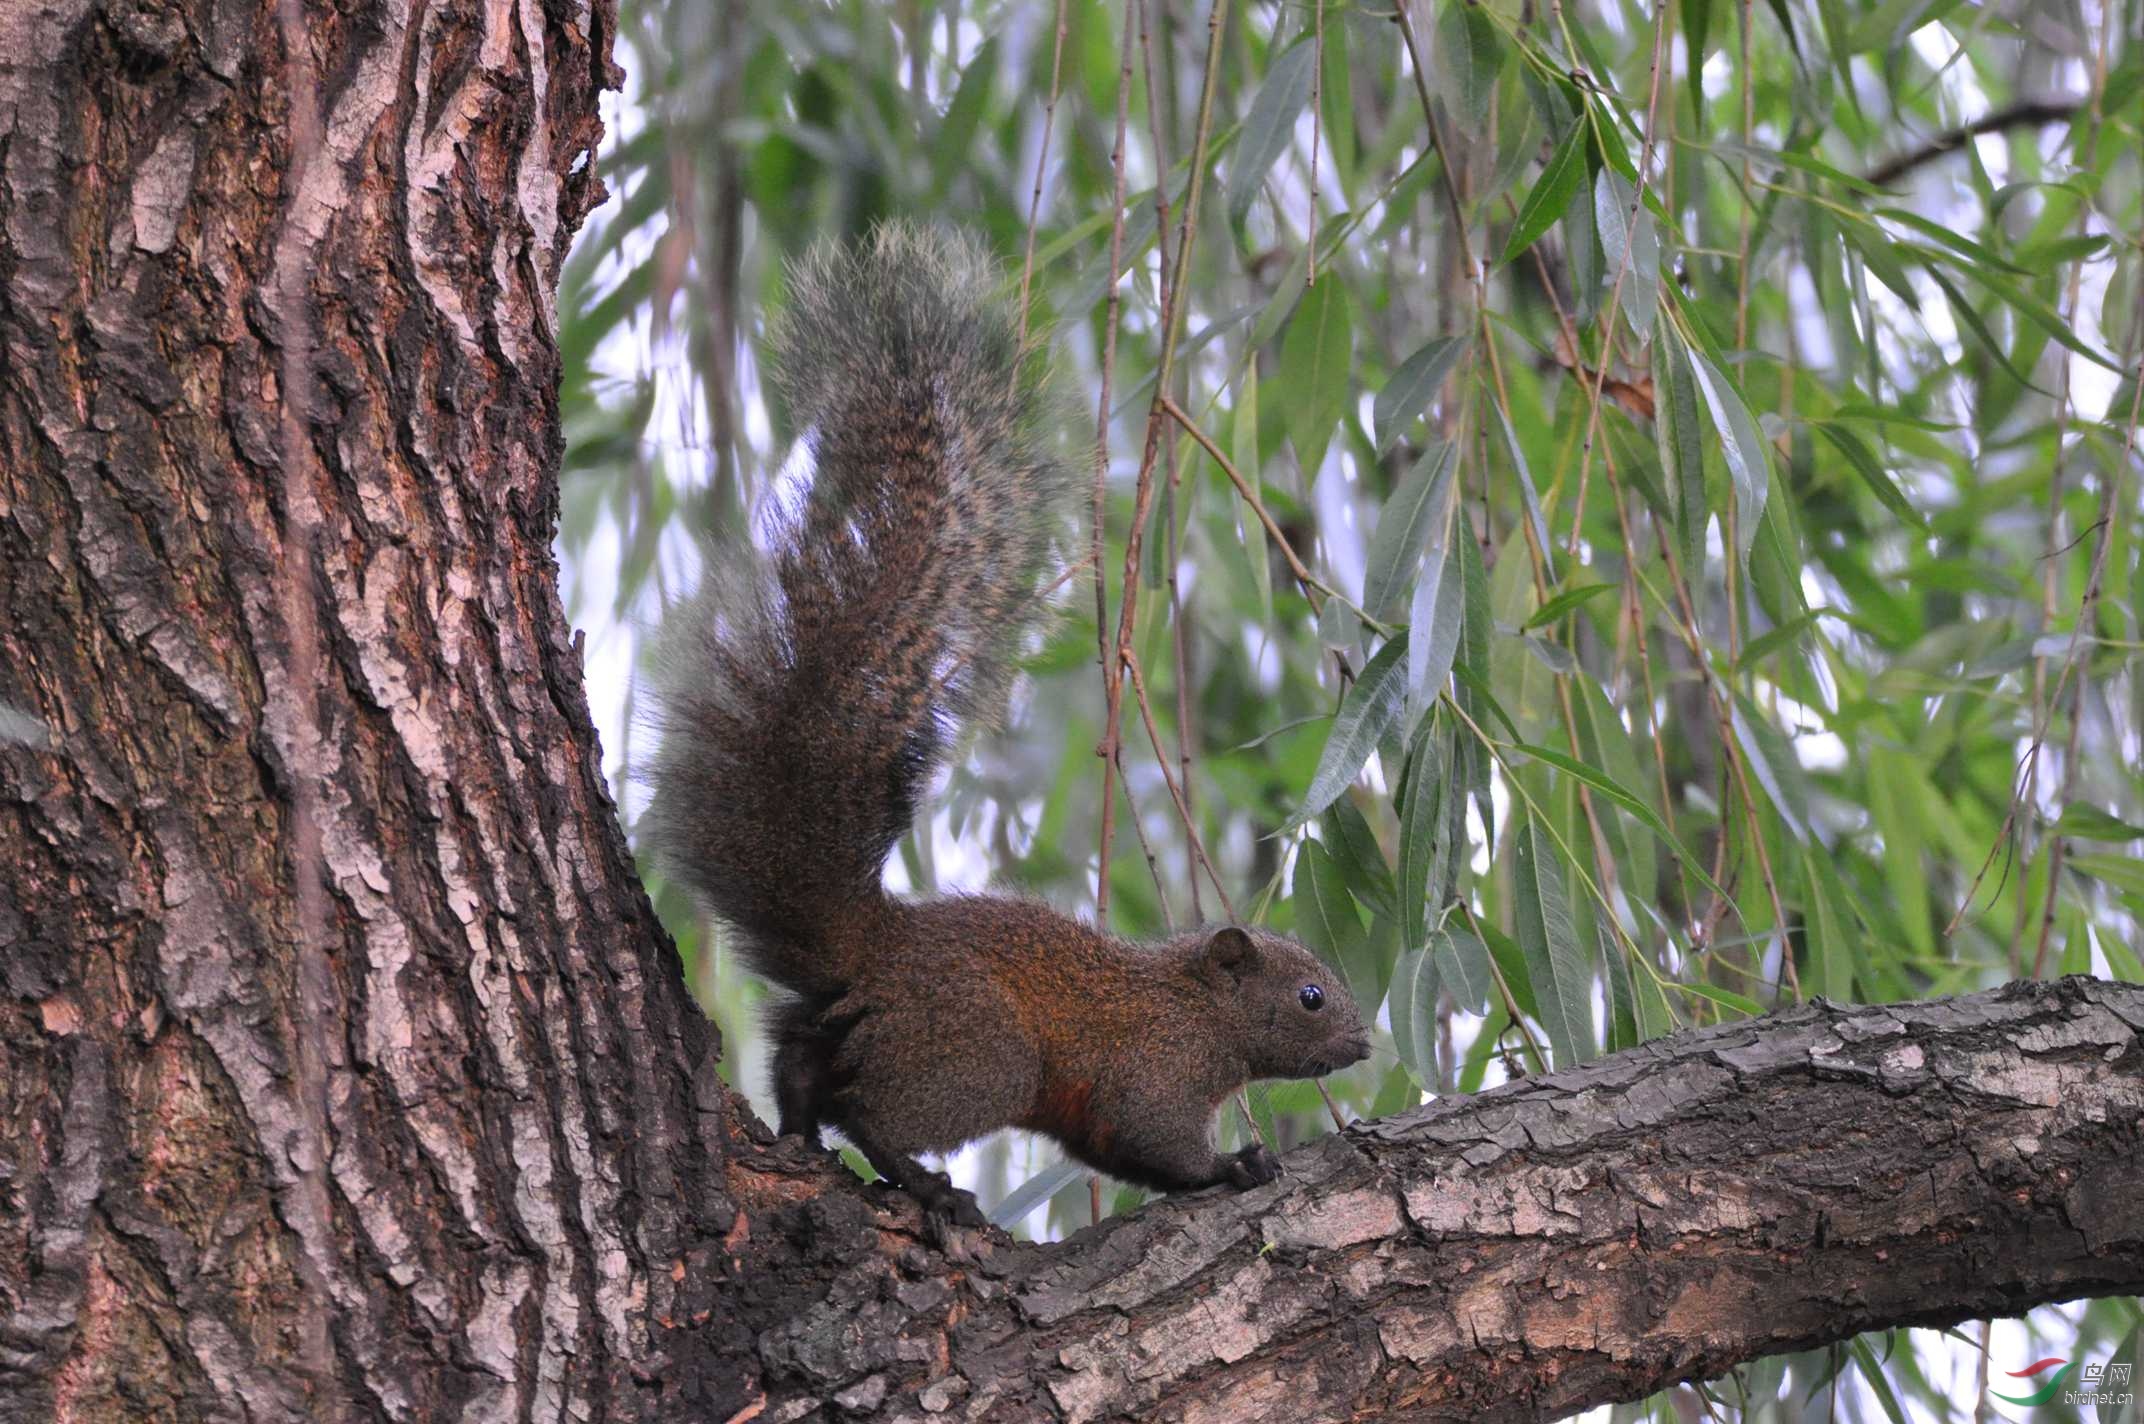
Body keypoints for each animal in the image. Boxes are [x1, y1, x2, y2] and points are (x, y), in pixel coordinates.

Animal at [638, 225, 1372, 1235]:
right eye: (1308, 996)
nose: (1365, 1044)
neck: (1194, 1009)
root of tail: (875, 947)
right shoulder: (1155, 1072)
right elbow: (1158, 1142)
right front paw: (1235, 1165)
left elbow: (1122, 1154)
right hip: (980, 1058)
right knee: (868, 1107)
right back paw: (919, 1180)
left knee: (800, 1064)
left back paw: (799, 1133)